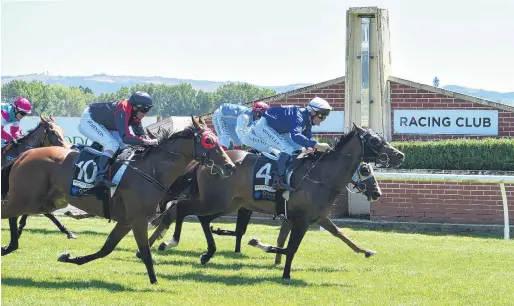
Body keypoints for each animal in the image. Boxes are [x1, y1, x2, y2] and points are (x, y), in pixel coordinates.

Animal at [0, 116, 234, 284]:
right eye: (209, 141)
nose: (230, 166)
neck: (151, 169)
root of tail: (24, 155)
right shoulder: (138, 220)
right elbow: (145, 252)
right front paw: (155, 283)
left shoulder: (126, 221)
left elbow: (106, 249)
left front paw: (69, 258)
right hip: (26, 199)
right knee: (9, 213)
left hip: (40, 201)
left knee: (16, 215)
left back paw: (11, 245)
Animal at [146, 124, 402, 280]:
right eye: (374, 140)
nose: (399, 155)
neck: (321, 175)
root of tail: (206, 163)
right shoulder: (300, 220)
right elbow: (290, 247)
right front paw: (283, 270)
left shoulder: (316, 217)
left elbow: (341, 234)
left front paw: (366, 250)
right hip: (216, 201)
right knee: (180, 208)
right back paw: (167, 241)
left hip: (228, 203)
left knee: (197, 216)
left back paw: (204, 252)